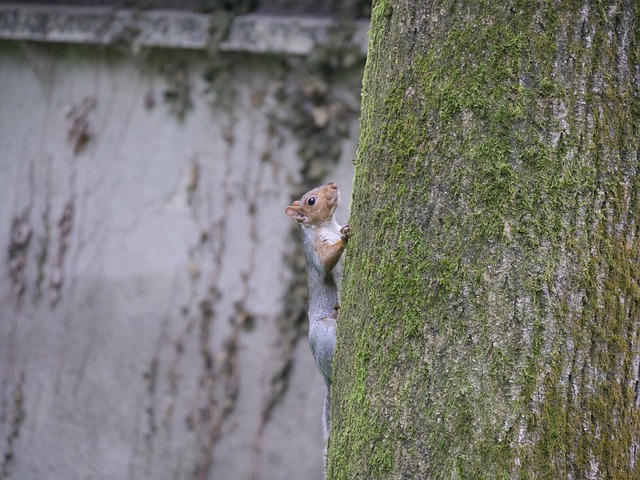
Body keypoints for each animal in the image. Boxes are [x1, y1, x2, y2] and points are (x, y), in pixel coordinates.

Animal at [286, 182, 352, 440]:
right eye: (311, 201)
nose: (333, 184)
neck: (328, 225)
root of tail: (324, 378)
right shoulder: (315, 251)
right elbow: (325, 261)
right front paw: (344, 239)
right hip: (323, 332)